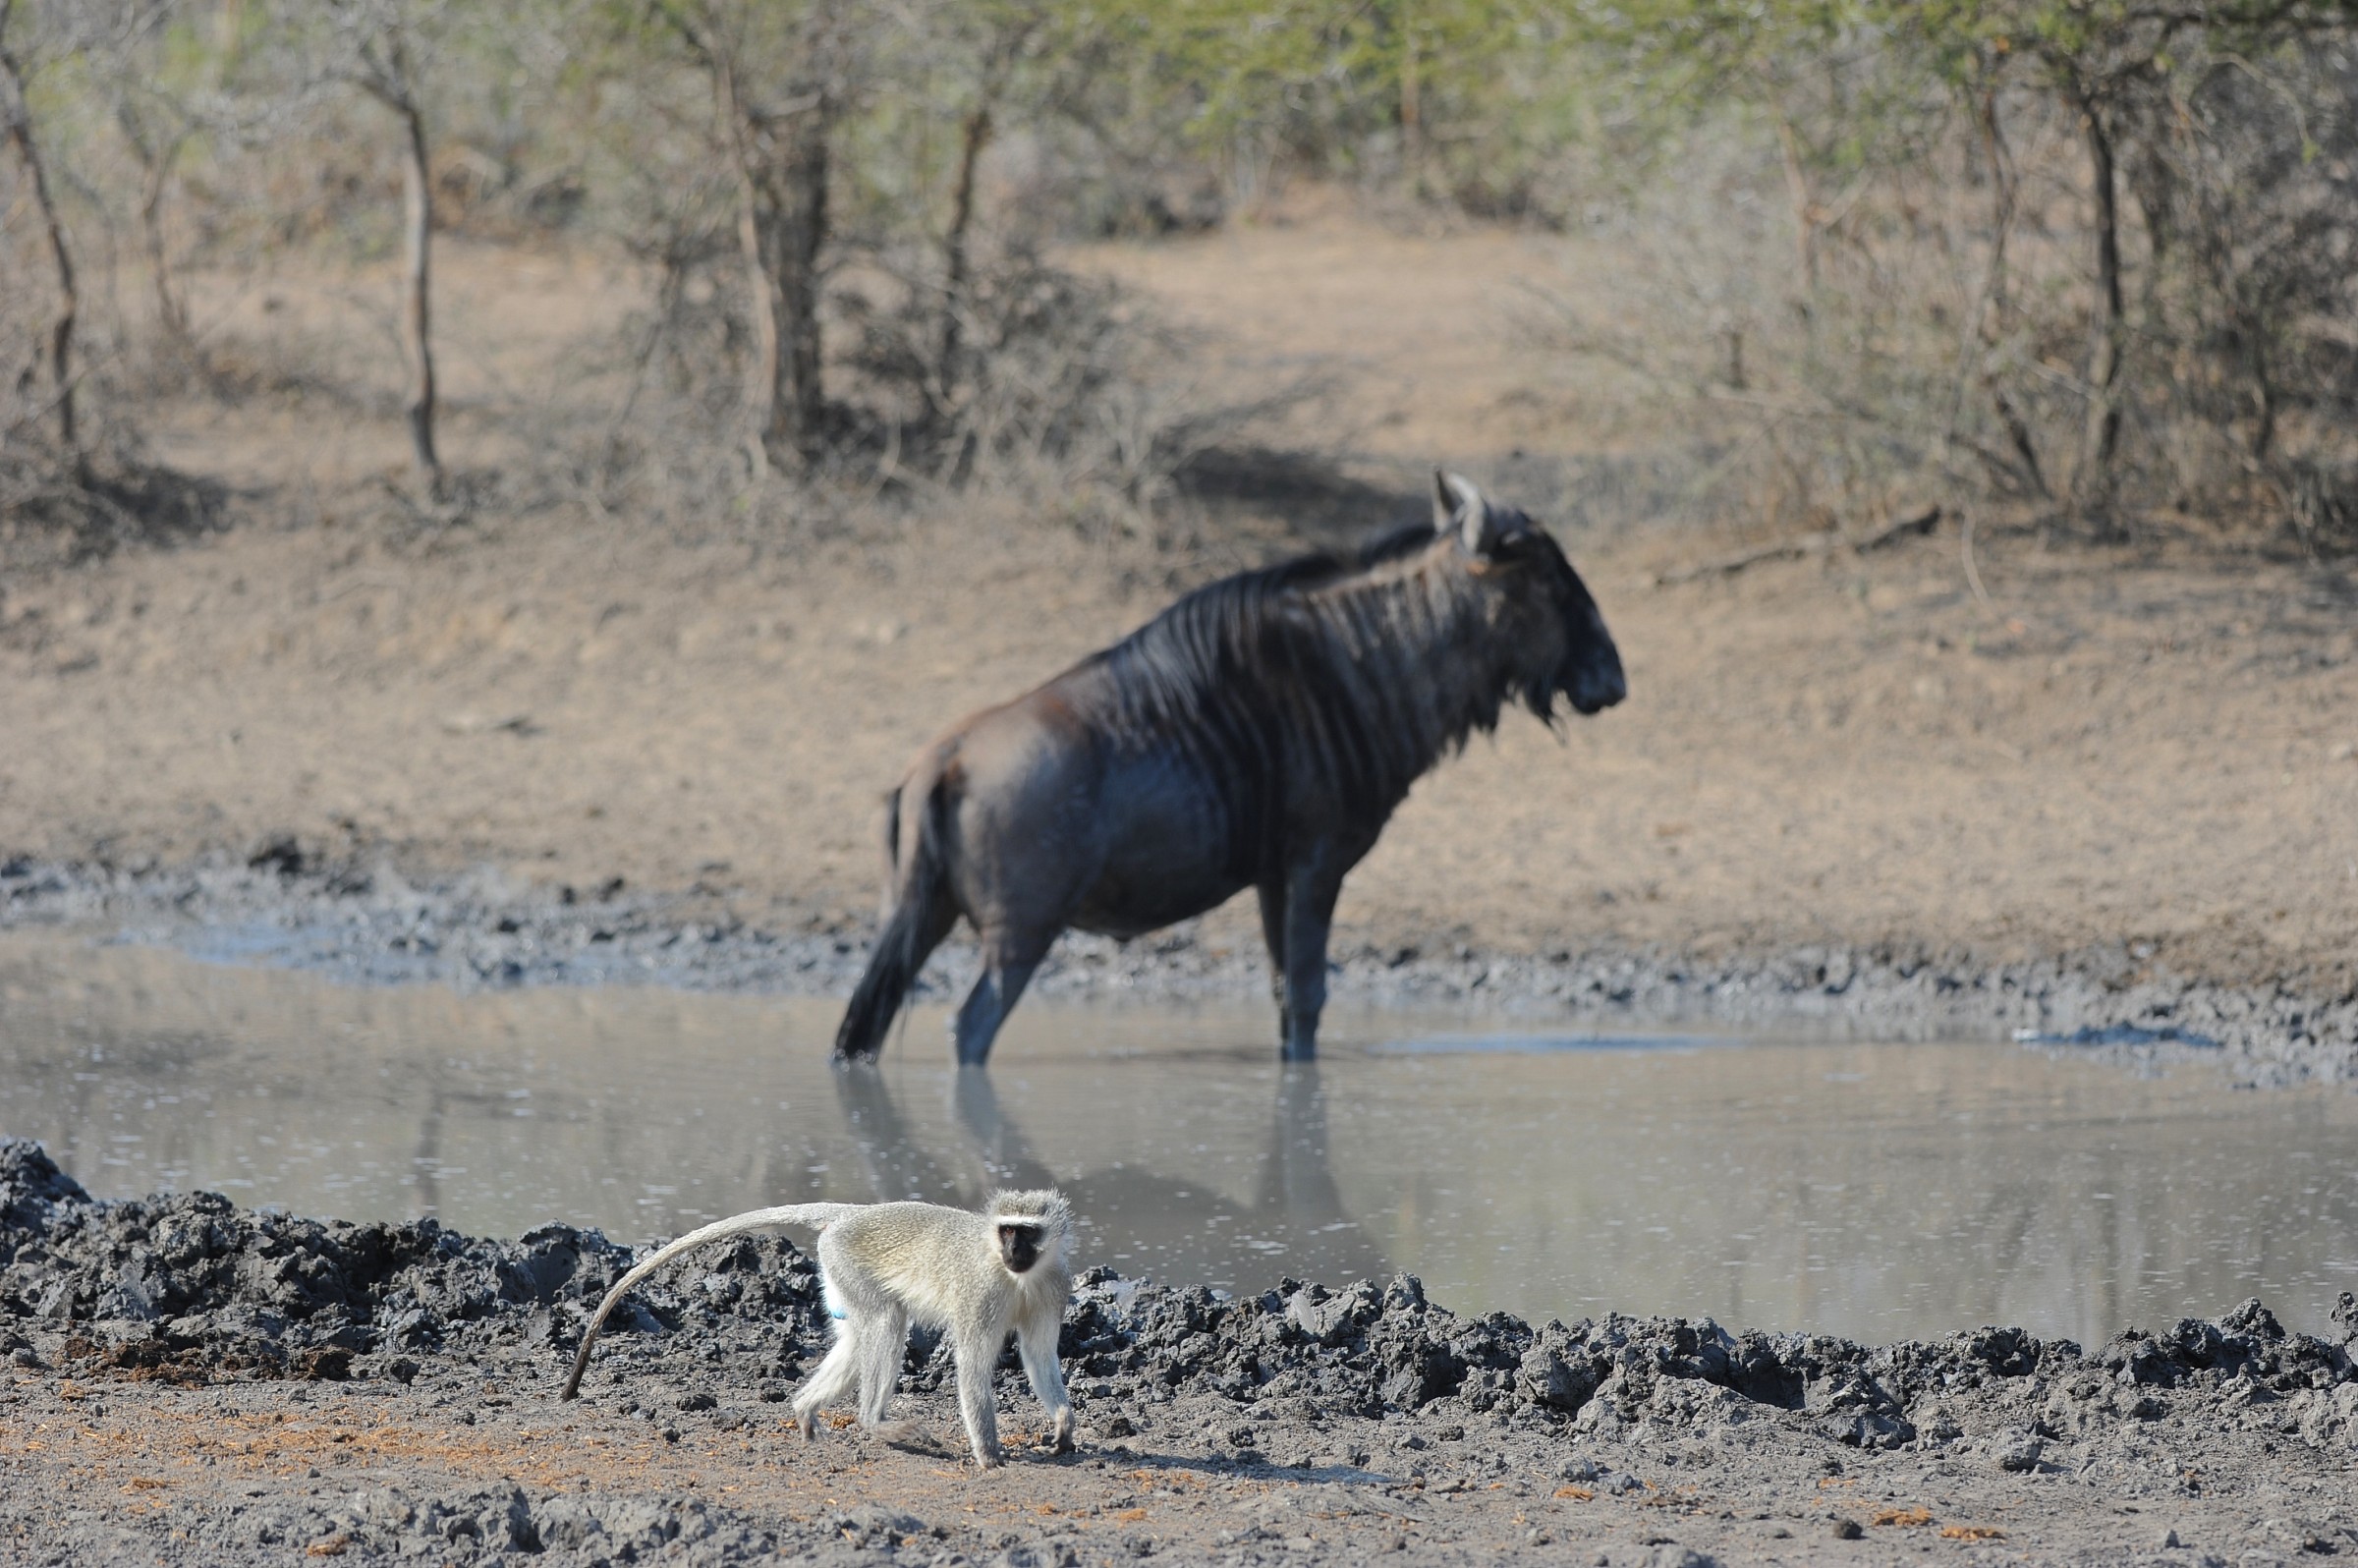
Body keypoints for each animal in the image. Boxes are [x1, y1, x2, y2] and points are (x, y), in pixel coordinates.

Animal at [559, 1190, 1077, 1469]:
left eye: (1027, 1232)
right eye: (1007, 1230)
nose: (1014, 1250)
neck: (1018, 1275)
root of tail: (852, 1214)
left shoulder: (1054, 1284)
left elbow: (1039, 1355)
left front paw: (1063, 1424)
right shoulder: (980, 1293)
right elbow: (971, 1363)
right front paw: (989, 1454)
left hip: (837, 1270)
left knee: (860, 1336)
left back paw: (806, 1408)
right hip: (845, 1257)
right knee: (886, 1322)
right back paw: (874, 1422)